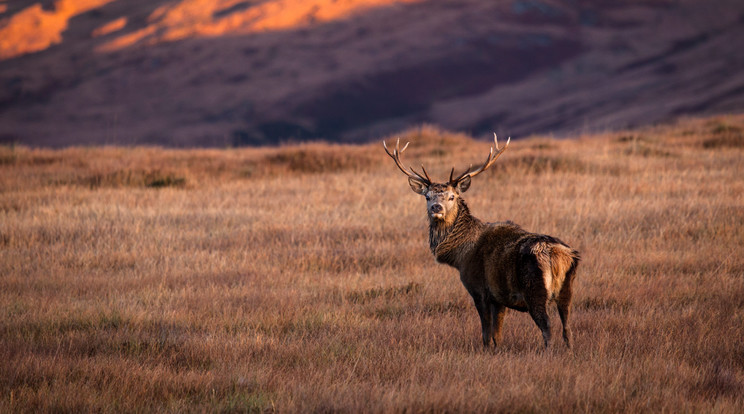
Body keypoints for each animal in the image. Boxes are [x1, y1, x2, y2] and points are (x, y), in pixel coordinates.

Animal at [384, 136, 580, 350]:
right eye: (427, 197)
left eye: (452, 197)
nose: (436, 207)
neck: (460, 256)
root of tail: (559, 255)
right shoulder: (499, 297)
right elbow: (498, 333)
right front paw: (498, 349)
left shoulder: (478, 288)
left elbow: (486, 333)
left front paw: (486, 350)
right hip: (568, 288)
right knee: (567, 326)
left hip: (534, 288)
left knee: (547, 326)